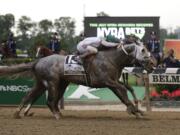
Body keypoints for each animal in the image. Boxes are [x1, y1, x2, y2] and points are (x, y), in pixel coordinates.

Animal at [0, 42, 155, 119]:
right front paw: (133, 110)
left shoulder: (113, 82)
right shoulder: (106, 81)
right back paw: (57, 115)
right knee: (50, 101)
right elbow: (123, 90)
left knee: (29, 96)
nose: (153, 65)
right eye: (143, 51)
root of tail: (38, 61)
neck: (111, 59)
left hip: (47, 83)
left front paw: (137, 110)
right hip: (52, 82)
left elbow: (127, 90)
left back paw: (18, 113)